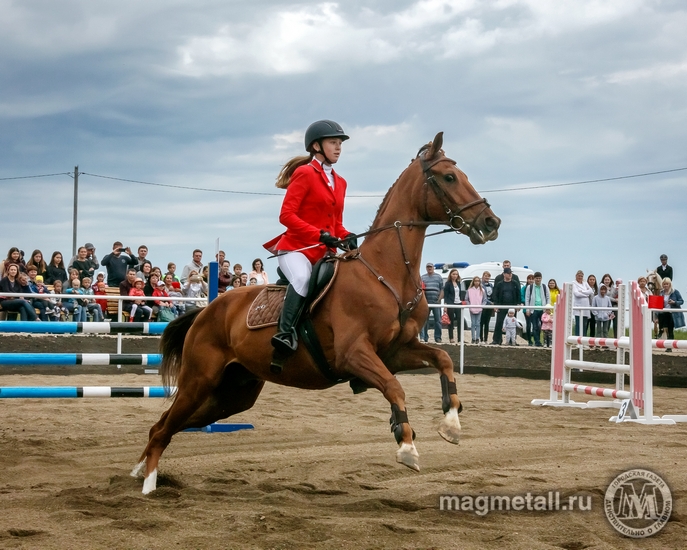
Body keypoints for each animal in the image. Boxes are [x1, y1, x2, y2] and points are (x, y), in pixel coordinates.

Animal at [133, 134, 500, 496]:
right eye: (449, 177)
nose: (491, 223)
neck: (385, 274)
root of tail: (204, 312)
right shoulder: (355, 354)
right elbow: (395, 388)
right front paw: (407, 445)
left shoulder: (395, 351)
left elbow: (443, 359)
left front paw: (451, 424)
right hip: (199, 382)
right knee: (164, 427)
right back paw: (149, 483)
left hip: (232, 395)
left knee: (163, 425)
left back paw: (140, 471)